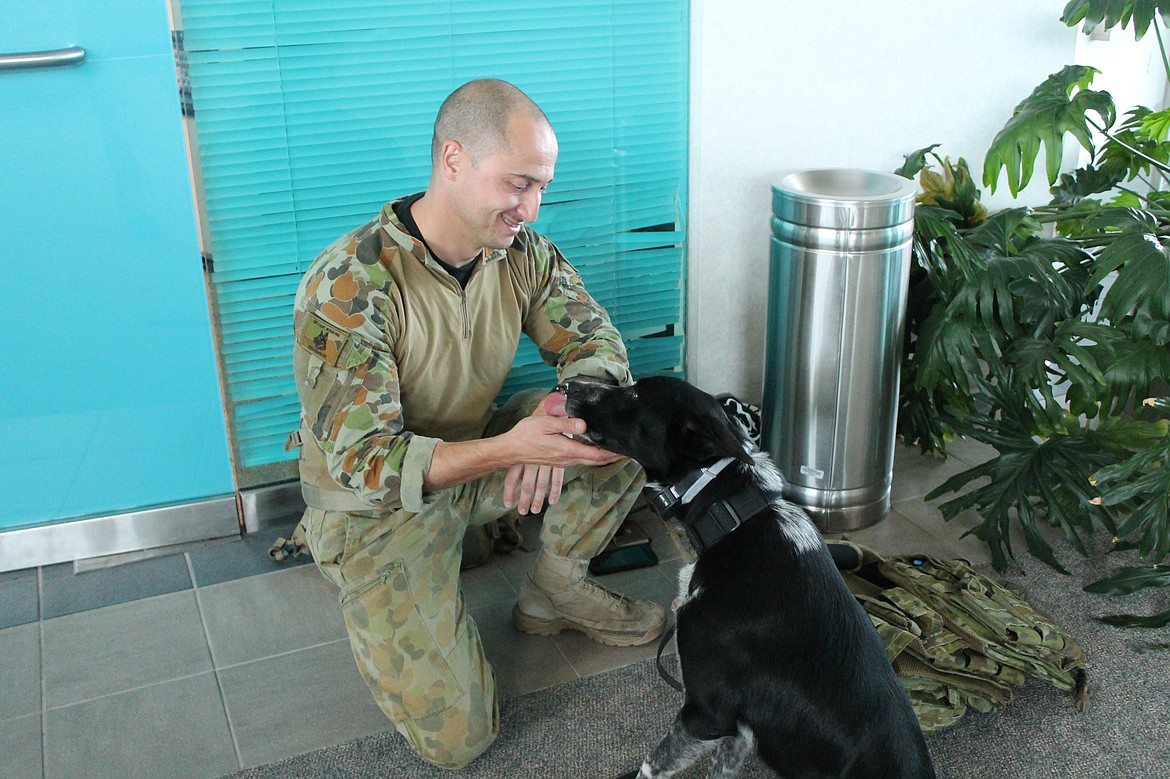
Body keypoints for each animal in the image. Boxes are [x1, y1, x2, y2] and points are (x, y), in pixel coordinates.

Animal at [556, 376, 931, 776]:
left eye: (636, 393)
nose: (568, 385)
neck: (731, 520)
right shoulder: (738, 730)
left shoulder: (706, 713)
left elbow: (651, 765)